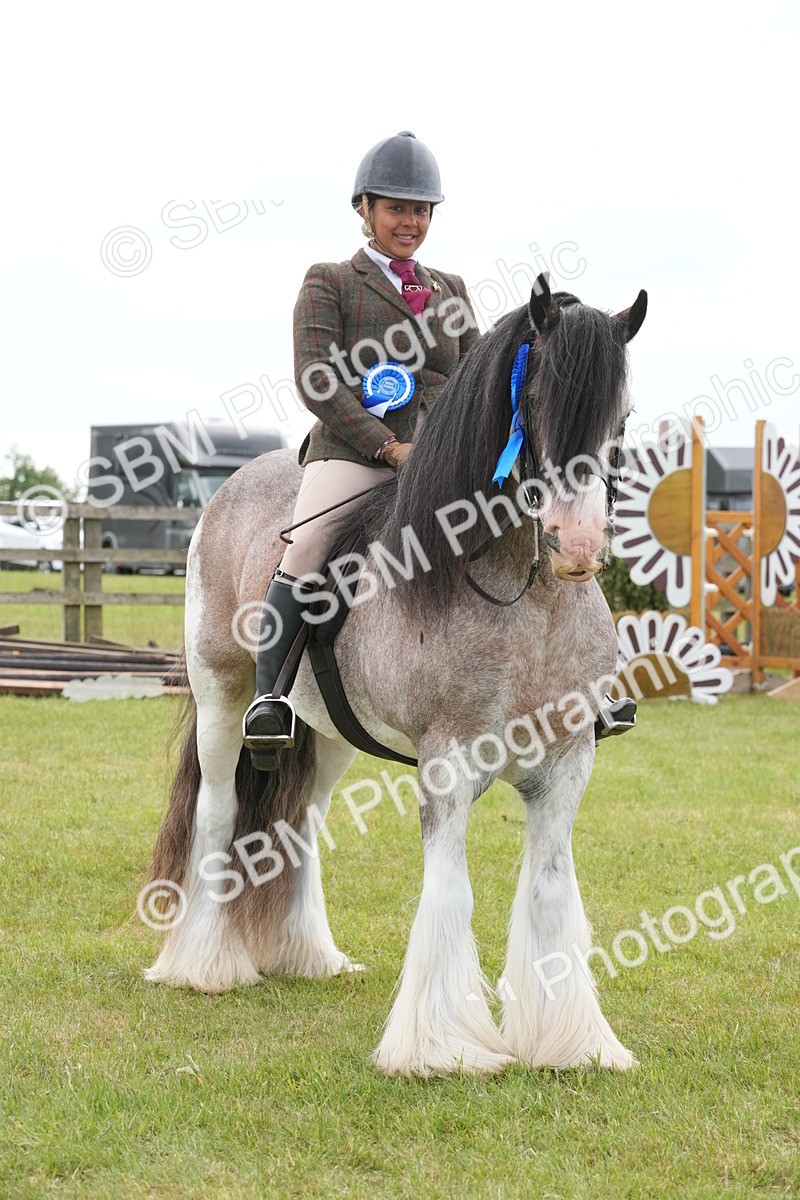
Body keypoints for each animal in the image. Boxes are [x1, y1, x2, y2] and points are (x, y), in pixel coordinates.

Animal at [143, 272, 648, 1077]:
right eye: (535, 404)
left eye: (621, 416)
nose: (577, 544)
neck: (527, 601)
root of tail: (233, 485)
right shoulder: (447, 762)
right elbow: (451, 895)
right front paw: (442, 1048)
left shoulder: (568, 764)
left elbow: (549, 891)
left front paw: (571, 1043)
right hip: (222, 694)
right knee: (219, 812)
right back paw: (204, 966)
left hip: (327, 732)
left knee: (303, 819)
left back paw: (307, 956)